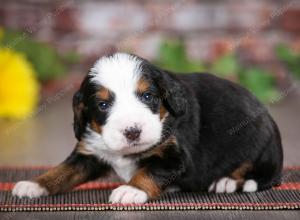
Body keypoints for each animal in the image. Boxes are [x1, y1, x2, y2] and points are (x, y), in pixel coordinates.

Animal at [12, 52, 284, 204]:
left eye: (147, 96)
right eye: (102, 104)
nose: (132, 131)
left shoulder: (174, 156)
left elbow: (149, 172)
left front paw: (131, 190)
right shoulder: (89, 151)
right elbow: (63, 171)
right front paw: (35, 184)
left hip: (261, 147)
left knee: (263, 175)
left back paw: (228, 181)